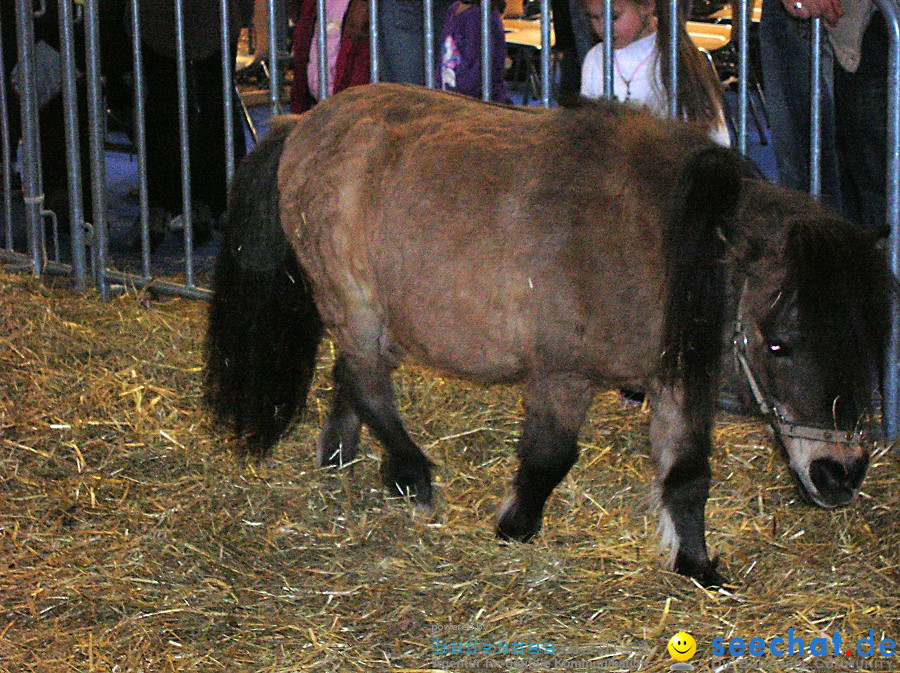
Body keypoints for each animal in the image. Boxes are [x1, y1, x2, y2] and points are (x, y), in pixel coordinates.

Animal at [206, 84, 892, 584]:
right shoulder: (563, 374)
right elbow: (549, 457)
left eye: (865, 339)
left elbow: (688, 476)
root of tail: (300, 122)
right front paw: (515, 525)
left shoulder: (676, 381)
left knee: (352, 376)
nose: (841, 474)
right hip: (353, 302)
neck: (660, 245)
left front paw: (696, 564)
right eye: (778, 343)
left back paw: (346, 458)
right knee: (369, 382)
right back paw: (412, 475)